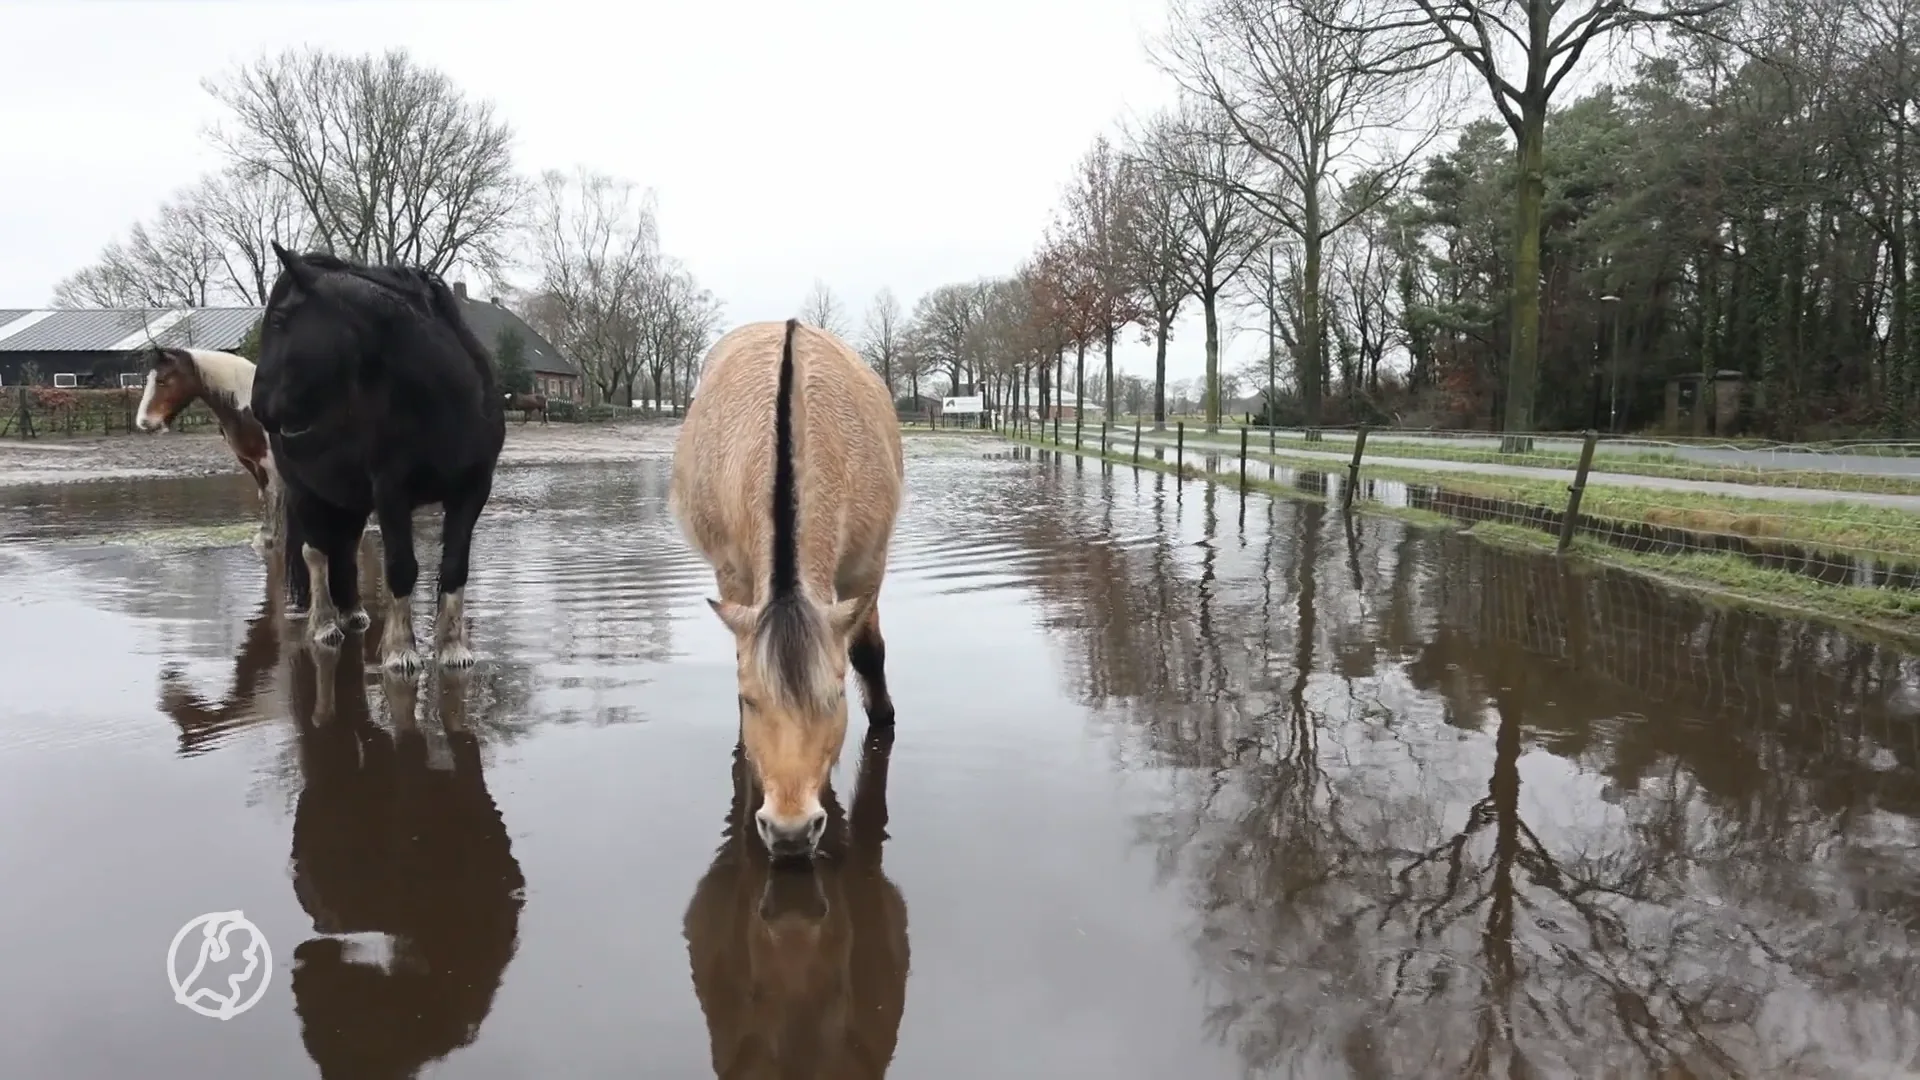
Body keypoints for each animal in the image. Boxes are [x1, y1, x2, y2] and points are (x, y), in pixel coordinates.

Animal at [131, 345, 284, 555]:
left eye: (161, 380)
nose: (144, 422)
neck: (248, 409)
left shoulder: (271, 463)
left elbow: (274, 498)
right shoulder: (254, 463)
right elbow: (266, 496)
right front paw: (266, 537)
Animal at [251, 241, 507, 673]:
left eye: (281, 318)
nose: (257, 406)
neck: (445, 400)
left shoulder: (473, 490)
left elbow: (455, 566)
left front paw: (453, 647)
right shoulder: (391, 491)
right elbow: (401, 567)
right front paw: (400, 650)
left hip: (349, 499)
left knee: (344, 549)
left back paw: (353, 613)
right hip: (306, 491)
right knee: (315, 552)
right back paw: (325, 624)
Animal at [670, 318, 904, 860]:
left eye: (835, 696)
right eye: (752, 699)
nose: (790, 832)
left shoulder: (867, 573)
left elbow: (867, 654)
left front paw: (883, 717)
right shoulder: (734, 577)